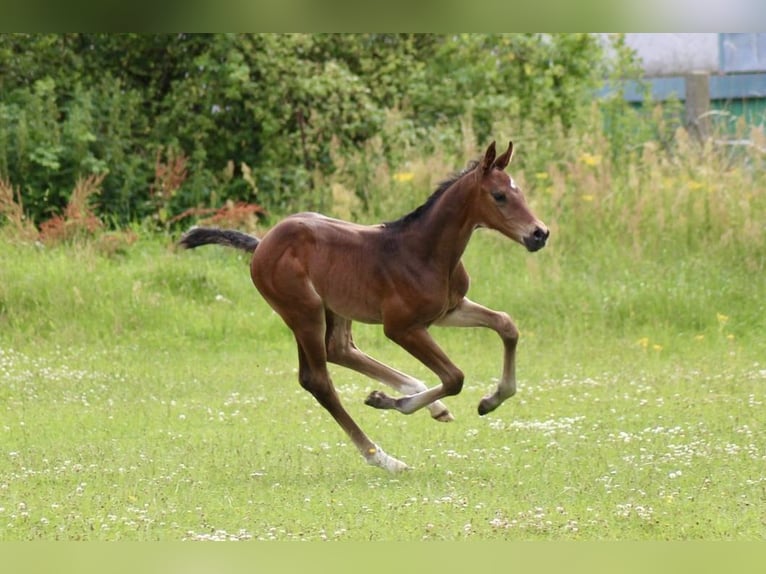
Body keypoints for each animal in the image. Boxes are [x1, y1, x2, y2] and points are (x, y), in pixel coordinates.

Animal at [180, 142, 552, 474]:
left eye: (519, 192)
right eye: (499, 195)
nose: (540, 234)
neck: (424, 250)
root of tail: (261, 245)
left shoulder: (449, 310)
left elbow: (506, 325)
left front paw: (491, 400)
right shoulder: (401, 327)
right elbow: (454, 376)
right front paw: (388, 402)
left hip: (334, 309)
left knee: (339, 349)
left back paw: (427, 405)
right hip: (303, 311)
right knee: (318, 380)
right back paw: (385, 458)